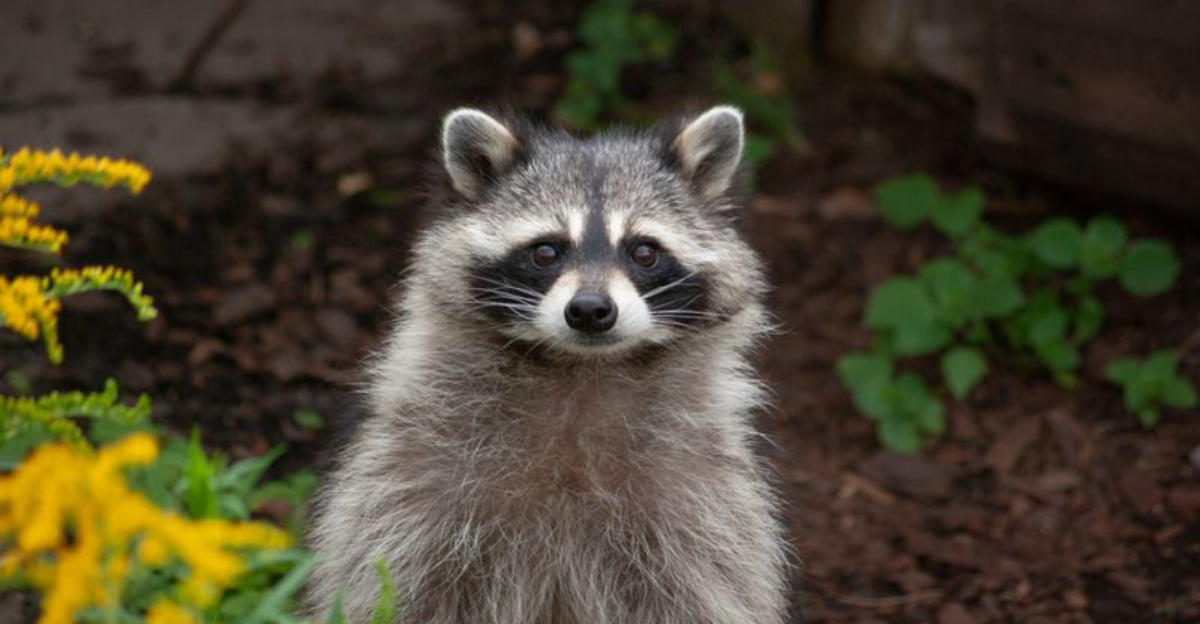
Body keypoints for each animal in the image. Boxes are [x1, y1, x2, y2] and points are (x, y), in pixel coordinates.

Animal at [307, 106, 792, 623]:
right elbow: (396, 583)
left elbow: (706, 589)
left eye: (643, 251)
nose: (591, 310)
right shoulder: (413, 478)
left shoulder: (701, 494)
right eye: (545, 251)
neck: (581, 367)